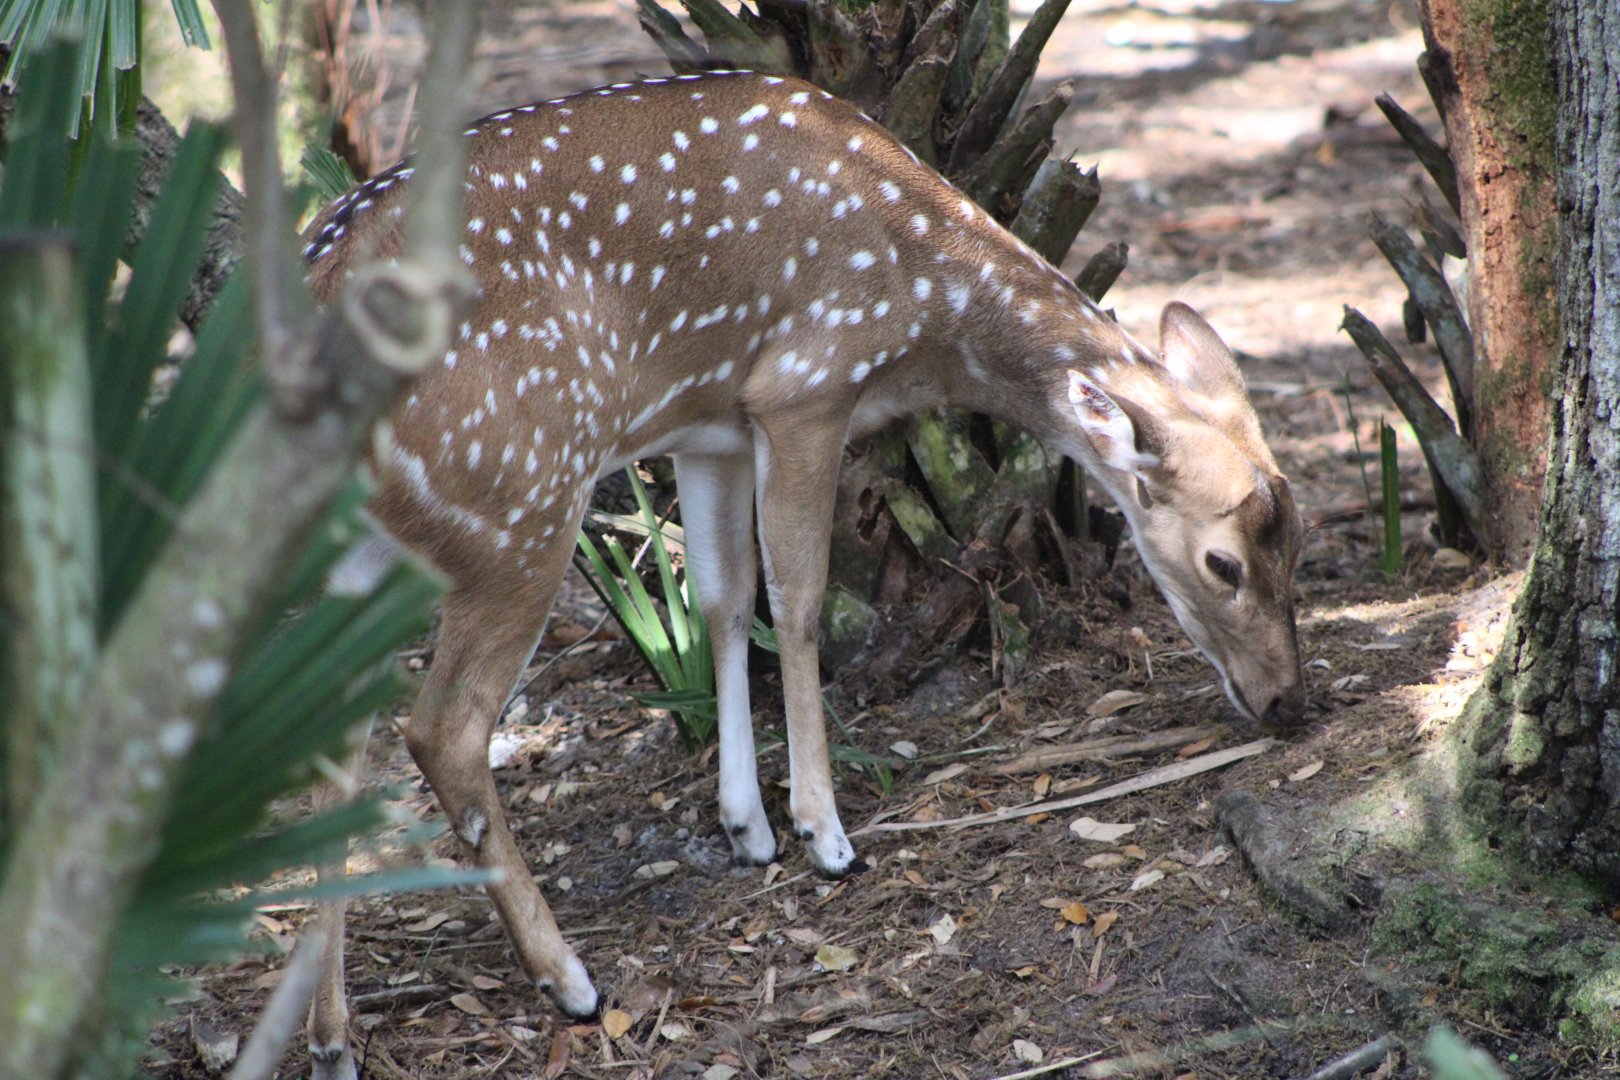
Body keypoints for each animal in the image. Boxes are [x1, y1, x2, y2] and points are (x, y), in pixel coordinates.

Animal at [297, 69, 1306, 1078]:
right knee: (442, 731)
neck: (924, 294)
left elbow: (724, 599)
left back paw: (331, 1034)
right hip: (520, 497)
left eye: (1297, 548)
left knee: (330, 746)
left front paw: (747, 826)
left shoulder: (710, 426)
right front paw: (823, 832)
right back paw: (569, 981)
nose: (1288, 699)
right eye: (1222, 561)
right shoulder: (805, 387)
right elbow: (799, 599)